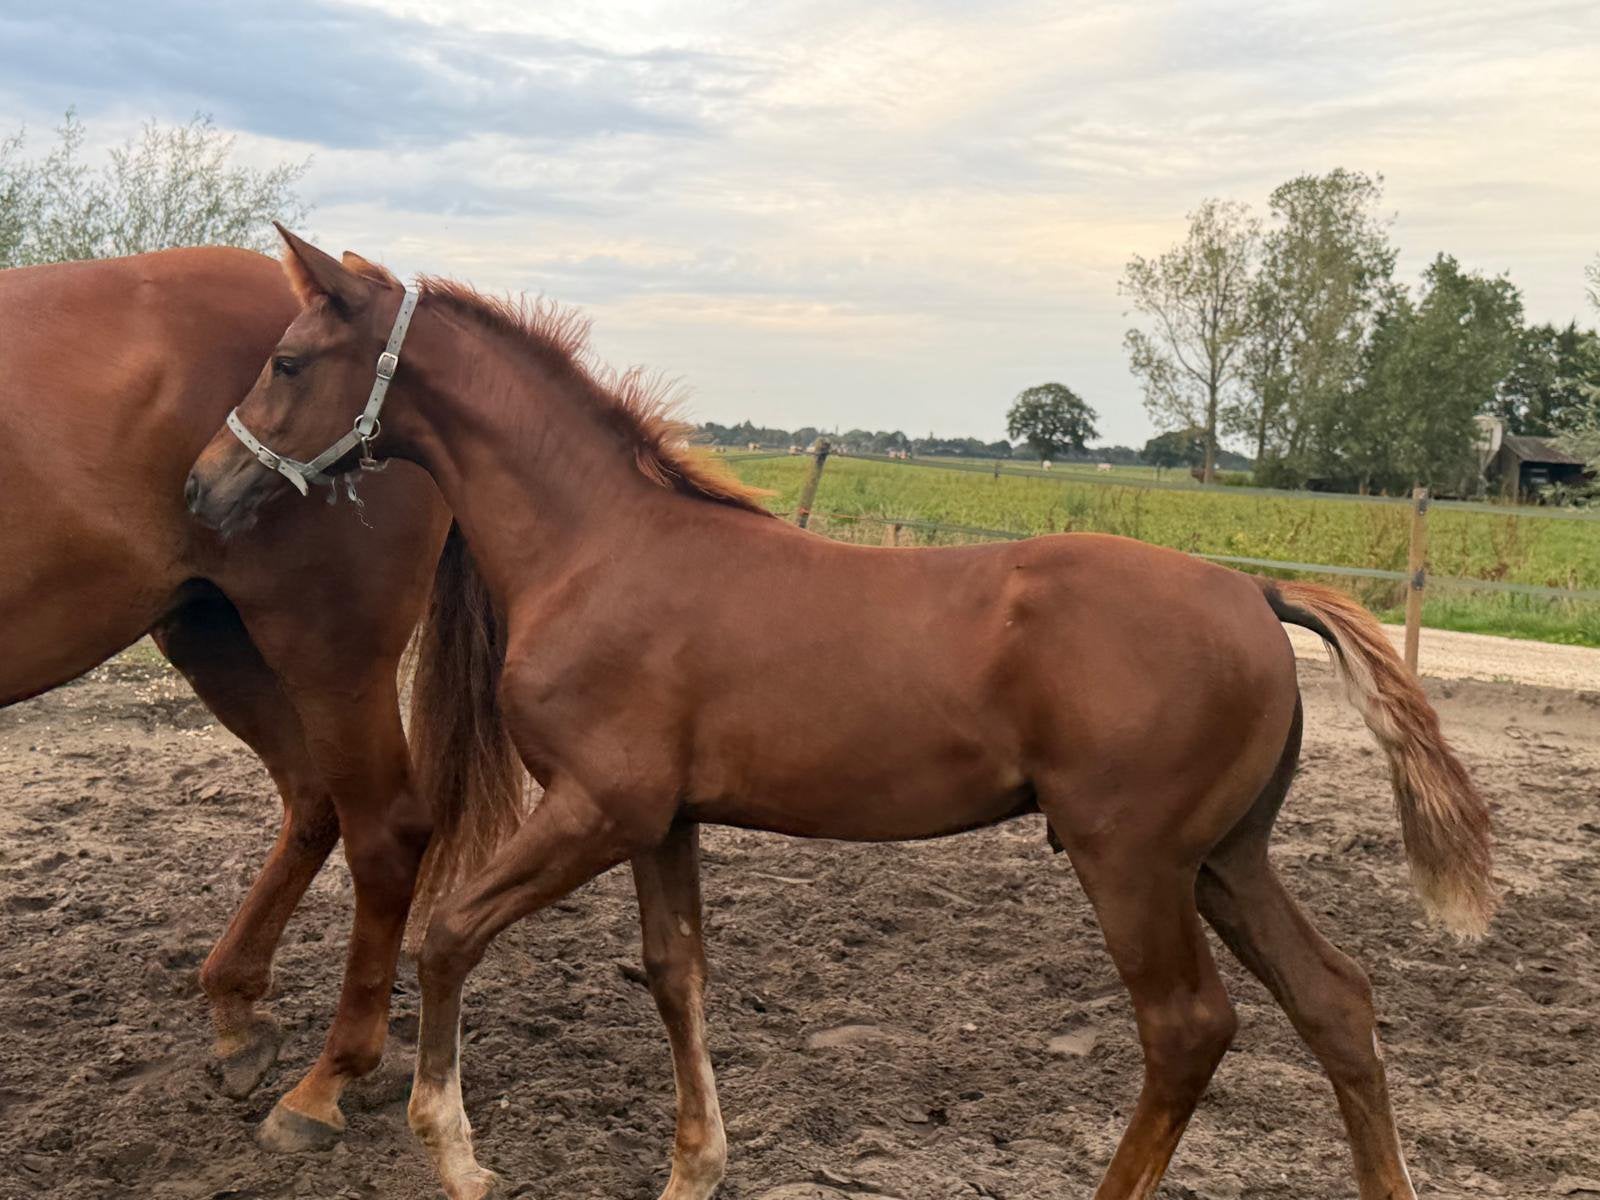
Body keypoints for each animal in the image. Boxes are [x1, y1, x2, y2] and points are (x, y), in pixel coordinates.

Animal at [0, 247, 521, 1153]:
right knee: (314, 801)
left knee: (385, 830)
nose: (199, 486)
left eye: (288, 366)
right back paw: (241, 1017)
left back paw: (327, 1081)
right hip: (214, 635)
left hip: (327, 654)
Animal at [187, 229, 1495, 1200]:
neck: (599, 547)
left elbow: (448, 933)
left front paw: (456, 1157)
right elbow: (676, 974)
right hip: (1225, 859)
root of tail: (1253, 591)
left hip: (1134, 862)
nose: (203, 485)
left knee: (1188, 1029)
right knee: (1335, 1003)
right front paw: (693, 1170)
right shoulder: (659, 821)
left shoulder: (595, 808)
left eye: (290, 361)